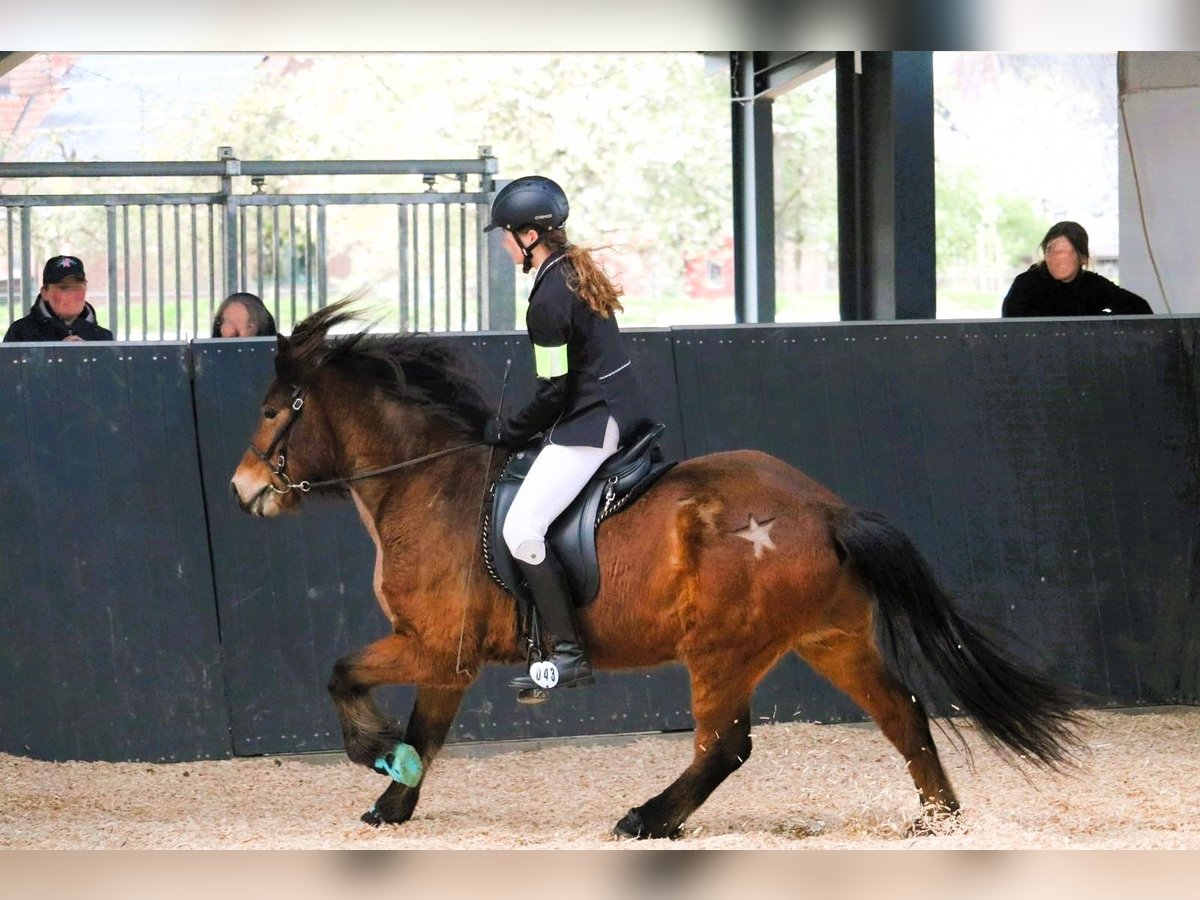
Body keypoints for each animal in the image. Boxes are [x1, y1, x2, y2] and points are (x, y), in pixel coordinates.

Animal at [229, 301, 1084, 840]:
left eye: (274, 411)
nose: (243, 490)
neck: (431, 486)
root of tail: (824, 509)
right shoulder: (449, 659)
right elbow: (427, 733)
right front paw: (393, 800)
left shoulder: (433, 645)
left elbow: (344, 676)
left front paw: (376, 755)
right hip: (829, 638)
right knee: (902, 715)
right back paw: (937, 819)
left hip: (724, 651)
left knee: (725, 746)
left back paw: (647, 818)